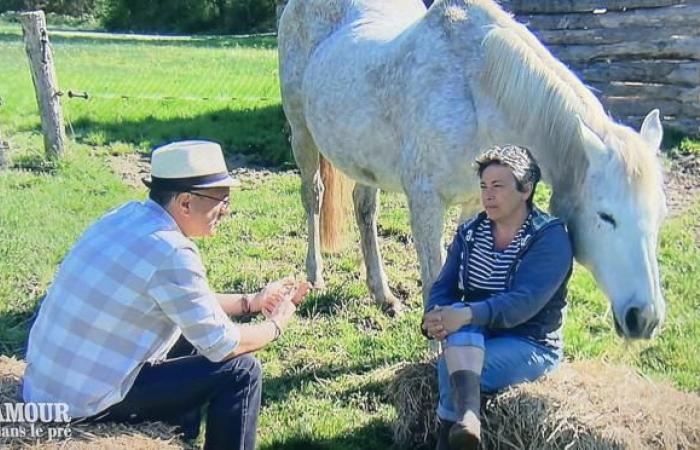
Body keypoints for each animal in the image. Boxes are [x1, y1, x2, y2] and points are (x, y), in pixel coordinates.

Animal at [278, 0, 668, 338]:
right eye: (606, 216)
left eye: (659, 216)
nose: (645, 319)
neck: (478, 90)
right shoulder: (425, 203)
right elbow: (433, 278)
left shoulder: (475, 201)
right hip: (302, 133)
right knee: (313, 196)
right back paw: (315, 276)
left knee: (364, 208)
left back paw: (383, 295)